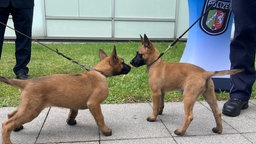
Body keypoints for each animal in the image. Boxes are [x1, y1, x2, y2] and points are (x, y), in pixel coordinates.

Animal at [1, 46, 131, 143]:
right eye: (122, 62)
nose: (130, 66)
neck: (100, 72)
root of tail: (27, 82)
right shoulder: (94, 103)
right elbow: (100, 118)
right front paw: (105, 130)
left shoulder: (74, 103)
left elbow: (74, 112)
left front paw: (70, 121)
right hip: (32, 110)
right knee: (7, 124)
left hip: (27, 106)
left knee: (11, 114)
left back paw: (17, 127)